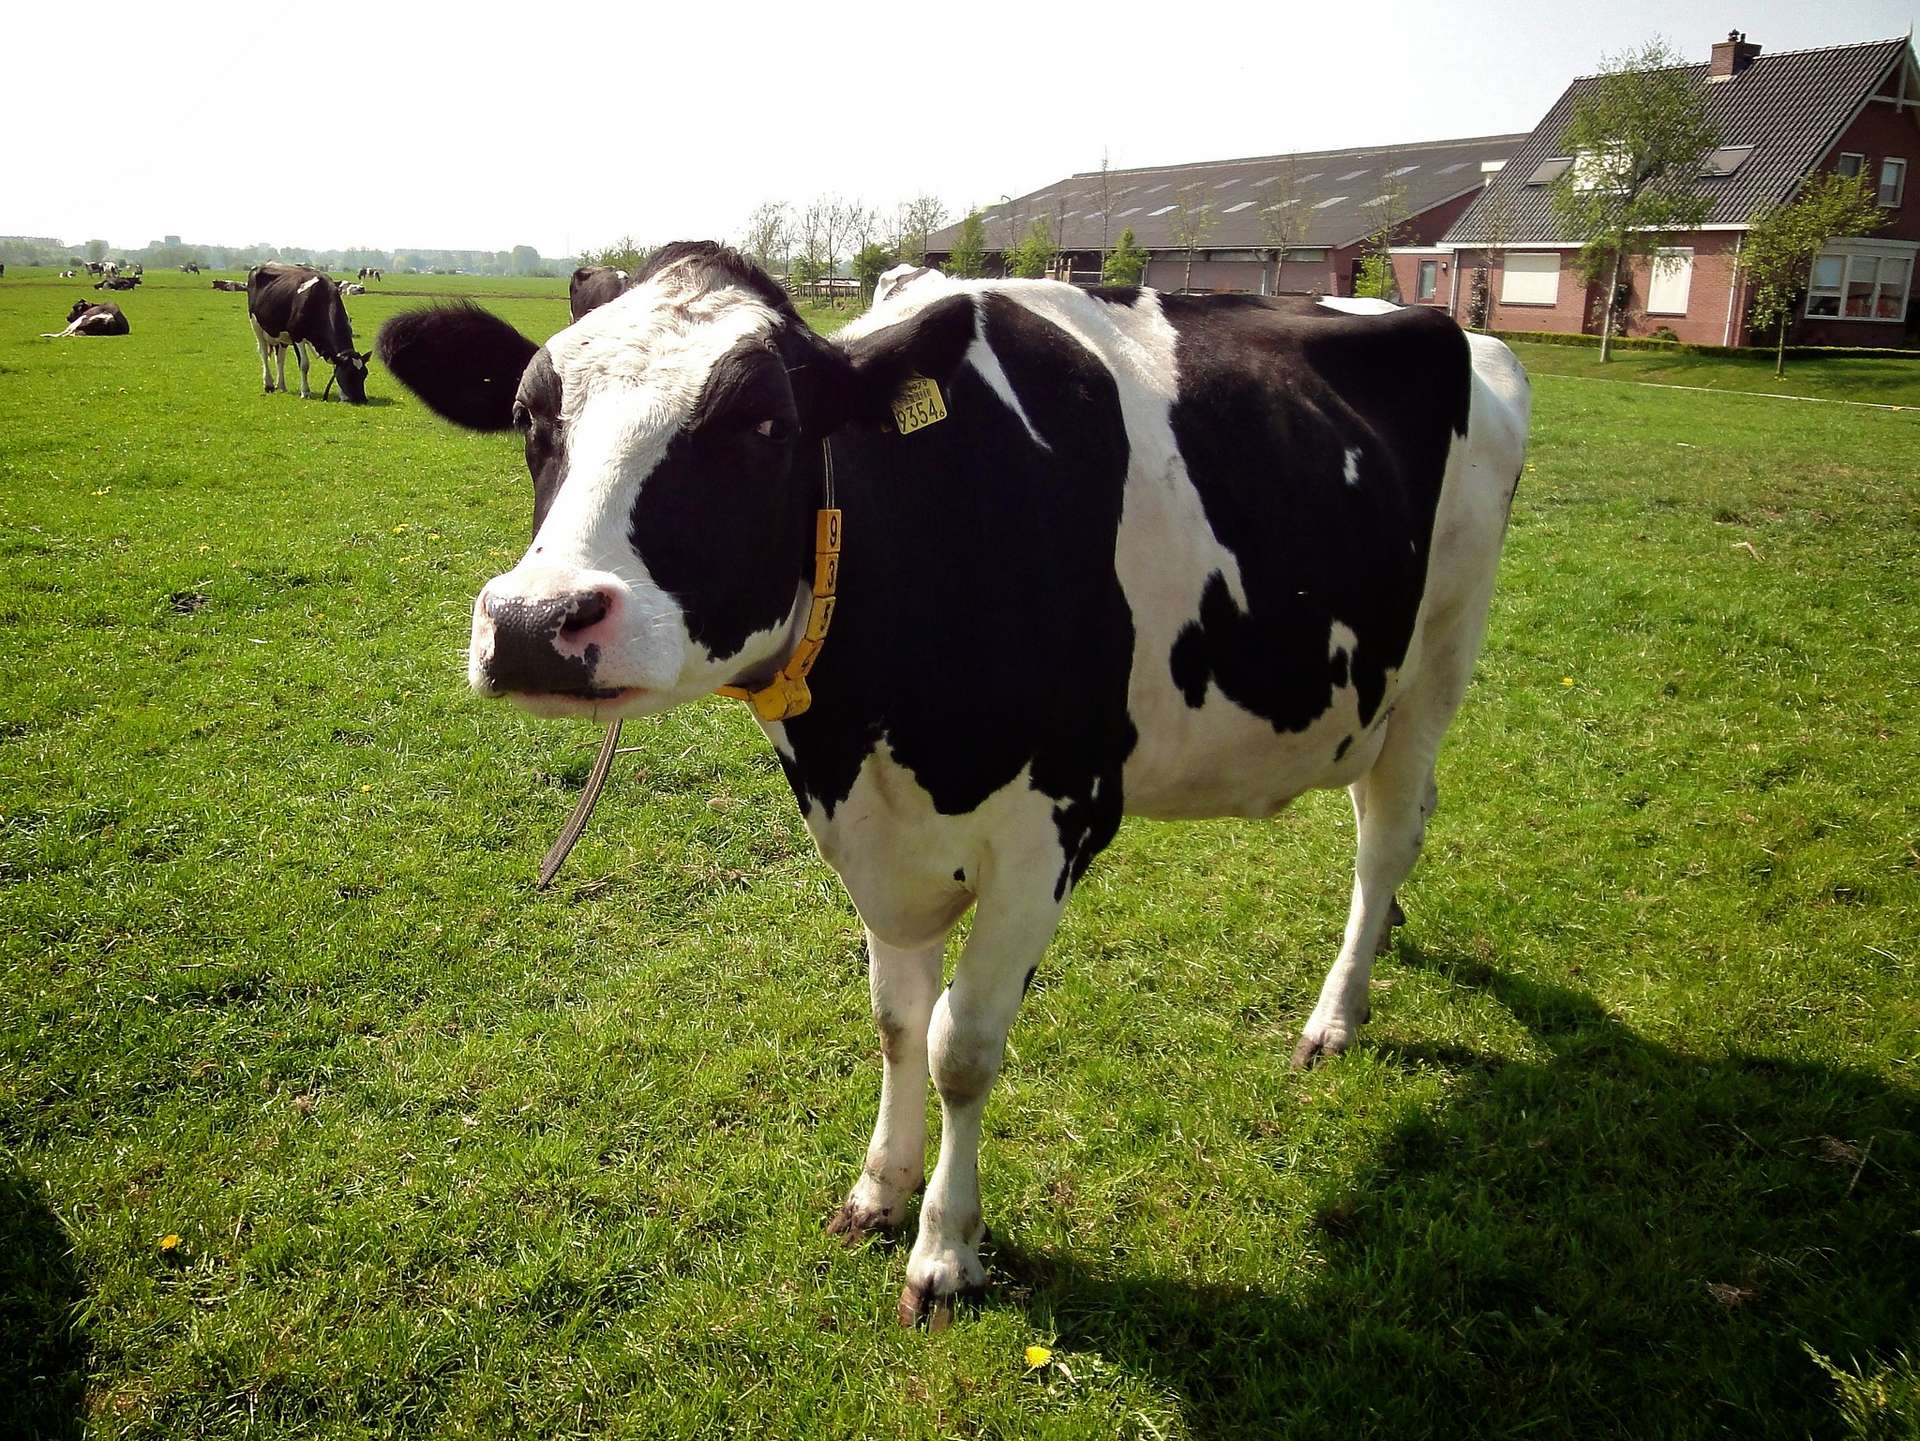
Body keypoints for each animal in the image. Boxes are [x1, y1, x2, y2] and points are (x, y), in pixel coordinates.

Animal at [245, 260, 368, 402]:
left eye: (365, 374)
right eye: (349, 374)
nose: (362, 399)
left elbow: (335, 366)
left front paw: (342, 395)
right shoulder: (296, 335)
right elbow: (304, 364)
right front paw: (305, 392)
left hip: (281, 335)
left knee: (280, 359)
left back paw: (281, 386)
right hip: (256, 325)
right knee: (264, 353)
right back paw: (268, 384)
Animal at [382, 239, 1536, 1327]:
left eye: (764, 422)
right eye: (532, 417)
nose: (535, 621)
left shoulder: (1055, 825)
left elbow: (961, 1047)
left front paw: (944, 1252)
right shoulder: (873, 832)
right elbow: (898, 1021)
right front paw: (878, 1190)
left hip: (1438, 658)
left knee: (1388, 834)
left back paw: (1337, 1012)